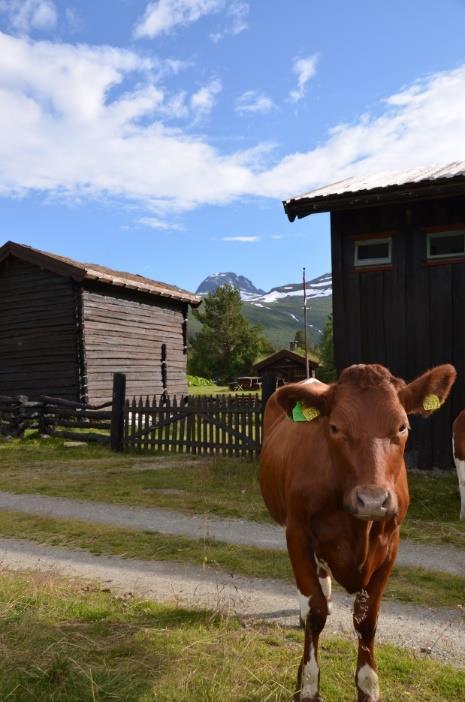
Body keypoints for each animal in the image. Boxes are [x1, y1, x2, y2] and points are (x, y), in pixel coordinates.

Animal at [260, 364, 454, 702]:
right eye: (335, 427)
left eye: (402, 427)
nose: (373, 500)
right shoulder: (297, 533)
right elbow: (314, 612)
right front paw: (307, 685)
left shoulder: (391, 544)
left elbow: (367, 620)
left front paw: (369, 686)